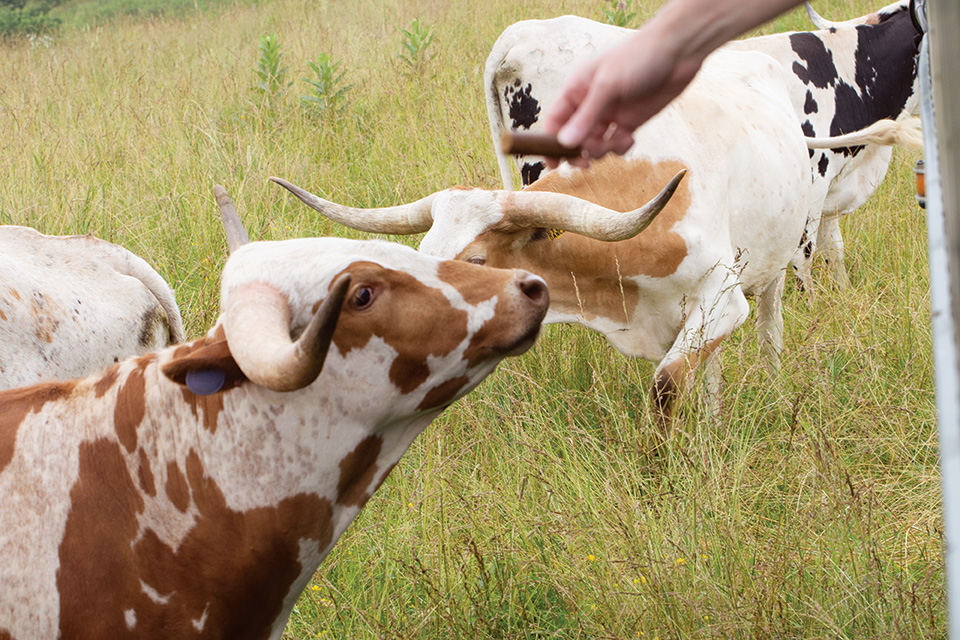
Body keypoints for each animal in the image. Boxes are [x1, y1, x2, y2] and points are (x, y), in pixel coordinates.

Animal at [272, 49, 824, 423]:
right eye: (424, 254)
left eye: (475, 262)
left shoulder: (723, 298)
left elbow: (665, 385)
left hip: (774, 269)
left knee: (770, 329)